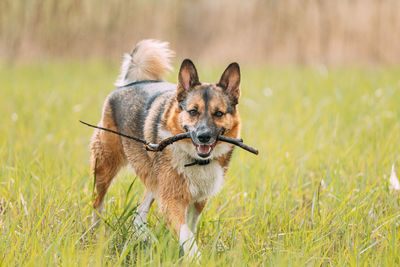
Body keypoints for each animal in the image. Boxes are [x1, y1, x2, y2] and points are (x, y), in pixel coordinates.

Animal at [90, 38, 241, 258]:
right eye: (193, 112)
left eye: (219, 113)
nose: (204, 136)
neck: (196, 161)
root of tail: (132, 82)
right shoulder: (172, 199)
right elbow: (187, 235)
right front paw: (195, 258)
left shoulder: (198, 200)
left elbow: (190, 229)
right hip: (105, 165)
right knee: (97, 202)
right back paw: (95, 234)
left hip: (154, 178)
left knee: (139, 212)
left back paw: (143, 239)